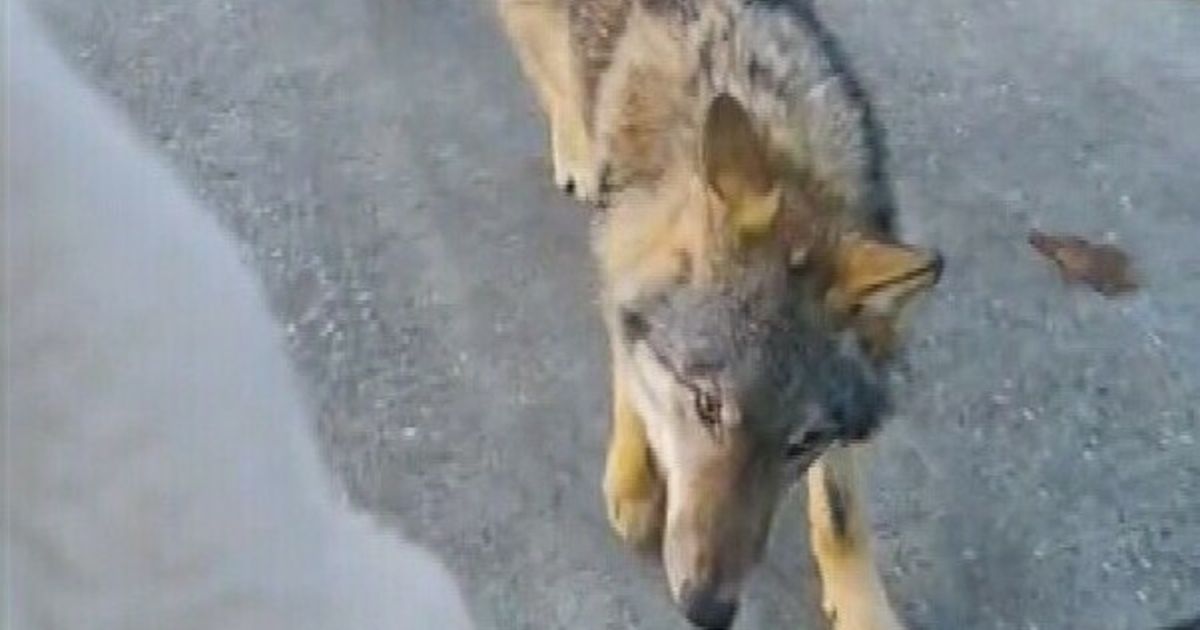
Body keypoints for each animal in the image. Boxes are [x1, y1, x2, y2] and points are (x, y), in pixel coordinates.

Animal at [497, 0, 943, 628]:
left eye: (804, 441)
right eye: (707, 406)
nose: (708, 610)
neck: (781, 143)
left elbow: (841, 514)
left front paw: (865, 609)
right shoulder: (621, 262)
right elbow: (630, 366)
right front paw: (634, 481)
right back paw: (576, 150)